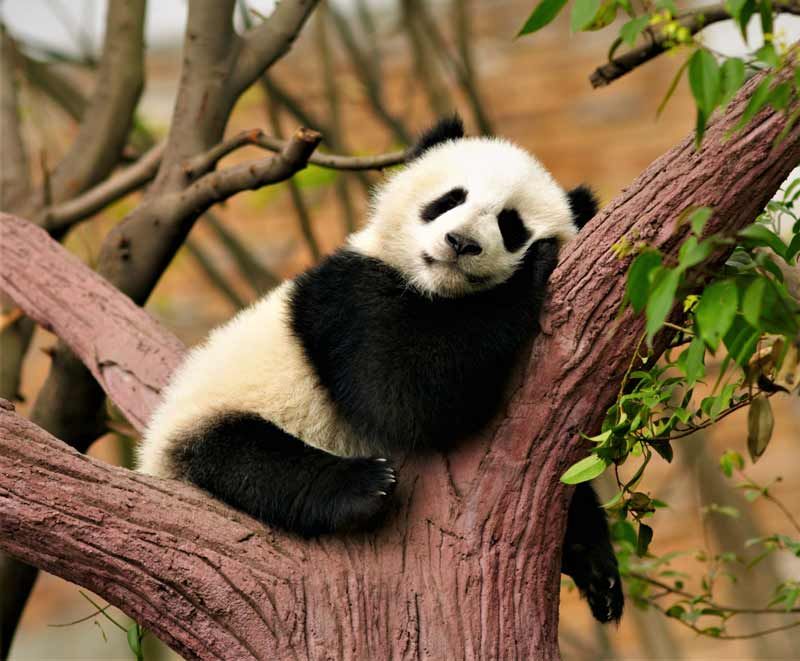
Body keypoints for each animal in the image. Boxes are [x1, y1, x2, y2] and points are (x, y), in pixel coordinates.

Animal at [138, 116, 624, 623]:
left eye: (510, 225)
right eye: (449, 200)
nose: (461, 243)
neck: (437, 290)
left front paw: (598, 570)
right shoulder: (348, 300)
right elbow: (402, 396)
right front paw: (530, 269)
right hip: (212, 414)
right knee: (246, 458)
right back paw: (362, 486)